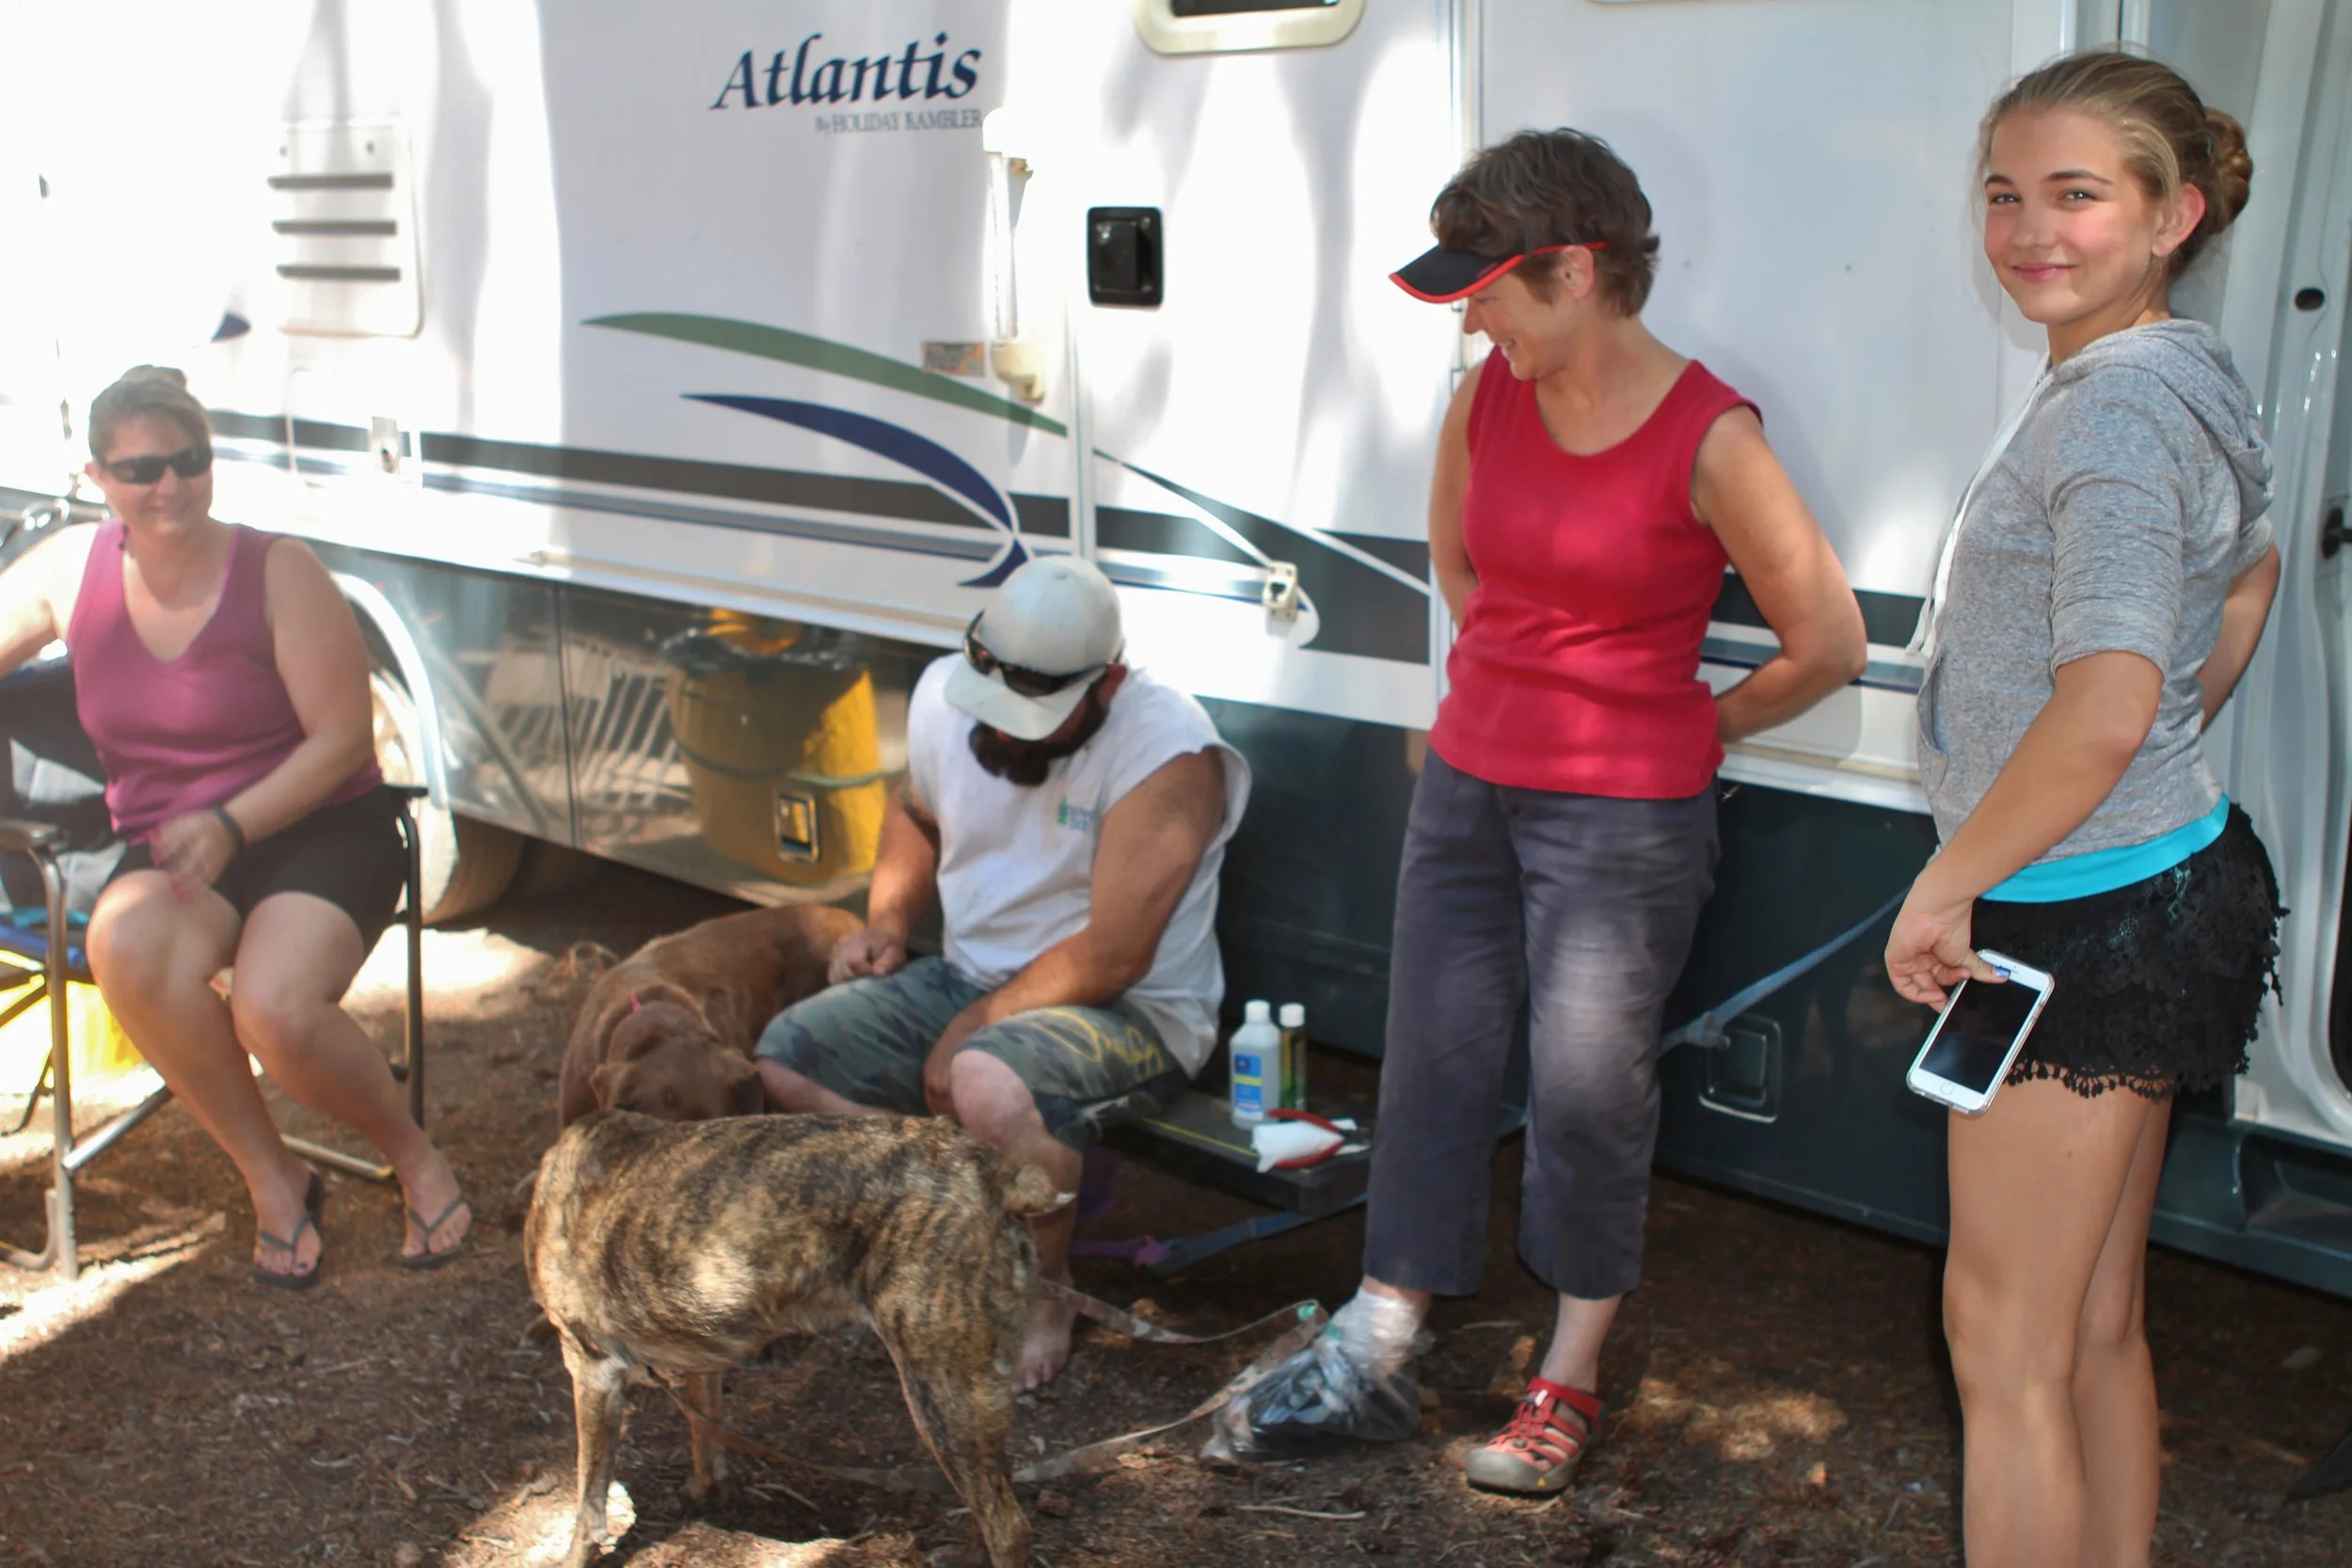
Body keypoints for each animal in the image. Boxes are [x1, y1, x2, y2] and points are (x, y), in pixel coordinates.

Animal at [527, 1110, 1056, 1568]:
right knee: (991, 1498)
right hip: (973, 1399)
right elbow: (705, 1435)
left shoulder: (592, 1370)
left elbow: (588, 1499)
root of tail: (994, 1175)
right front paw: (705, 1492)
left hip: (939, 1394)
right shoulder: (703, 1361)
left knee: (1009, 1527)